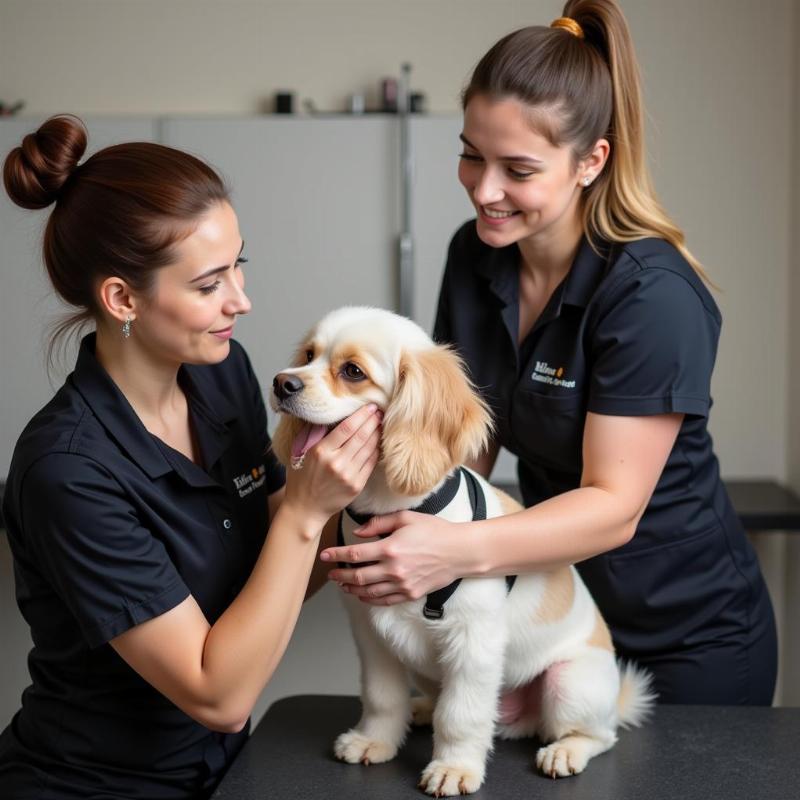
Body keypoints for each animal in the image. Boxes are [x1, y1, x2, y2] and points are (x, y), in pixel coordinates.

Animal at [270, 304, 656, 792]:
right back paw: (421, 710)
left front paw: (454, 767)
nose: (282, 383)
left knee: (598, 734)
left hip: (568, 683)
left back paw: (567, 749)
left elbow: (461, 716)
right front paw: (375, 740)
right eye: (308, 355)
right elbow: (381, 697)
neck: (391, 509)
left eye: (353, 371)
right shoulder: (371, 634)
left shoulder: (473, 644)